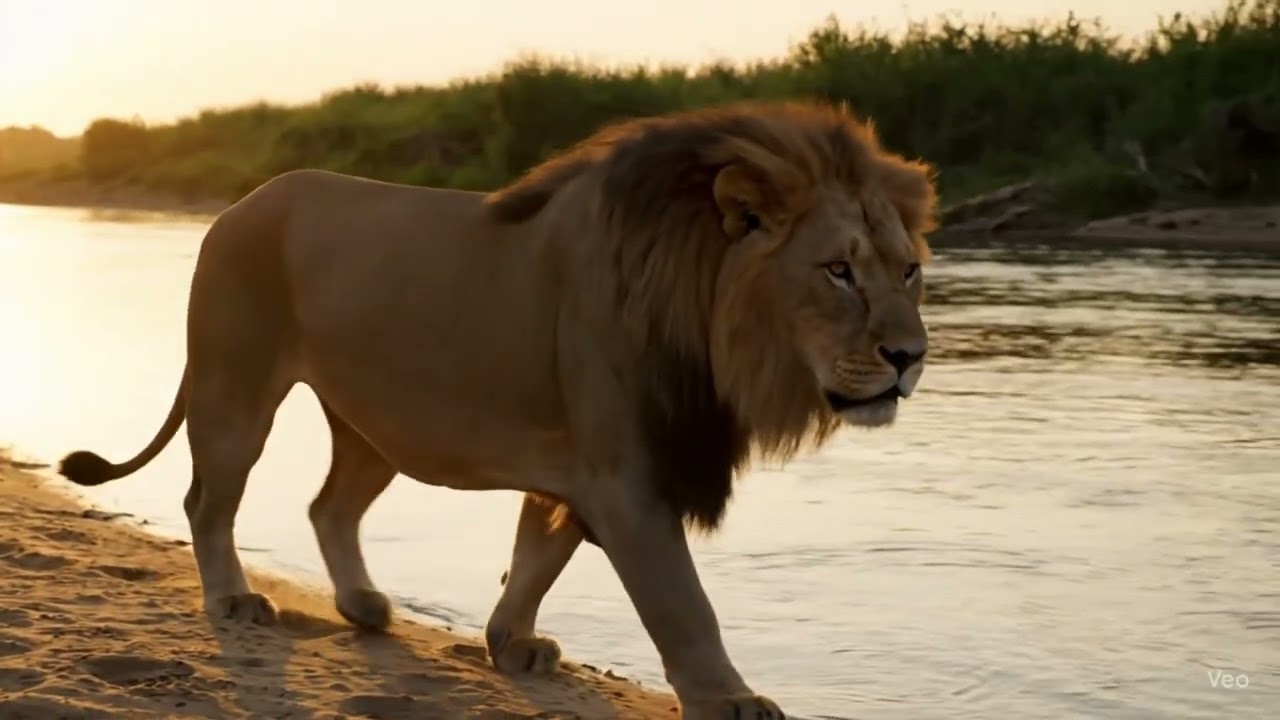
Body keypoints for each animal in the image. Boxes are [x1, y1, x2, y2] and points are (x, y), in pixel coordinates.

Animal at [56, 100, 937, 720]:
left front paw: (508, 645)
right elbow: (684, 604)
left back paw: (363, 606)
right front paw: (731, 699)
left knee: (328, 505)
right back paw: (234, 601)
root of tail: (239, 204)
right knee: (208, 498)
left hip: (377, 421)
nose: (910, 357)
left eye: (909, 272)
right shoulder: (627, 477)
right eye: (837, 272)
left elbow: (538, 554)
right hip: (235, 388)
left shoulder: (584, 468)